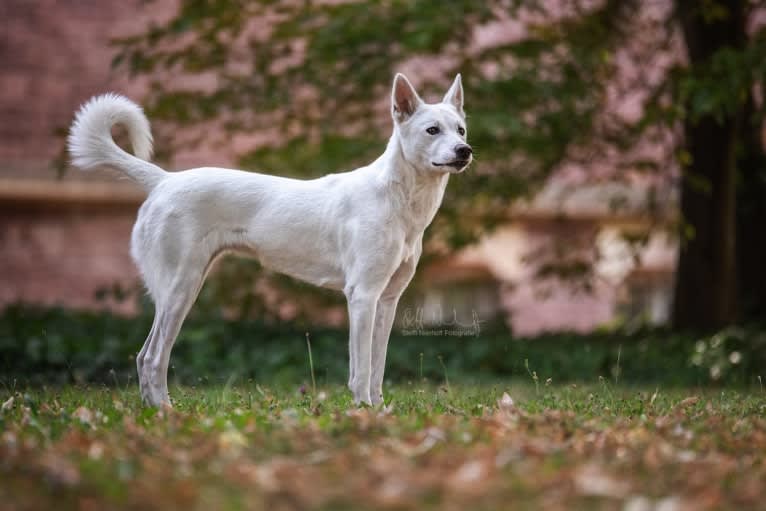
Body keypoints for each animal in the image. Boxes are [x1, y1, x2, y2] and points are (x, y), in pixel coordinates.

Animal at [69, 73, 472, 408]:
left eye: (461, 130)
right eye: (432, 130)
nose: (465, 151)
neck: (398, 197)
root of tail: (164, 180)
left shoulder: (386, 301)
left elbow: (377, 368)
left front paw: (379, 411)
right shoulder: (362, 296)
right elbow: (360, 370)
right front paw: (363, 412)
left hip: (184, 287)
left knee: (144, 357)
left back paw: (155, 411)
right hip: (179, 289)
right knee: (153, 357)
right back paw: (167, 414)